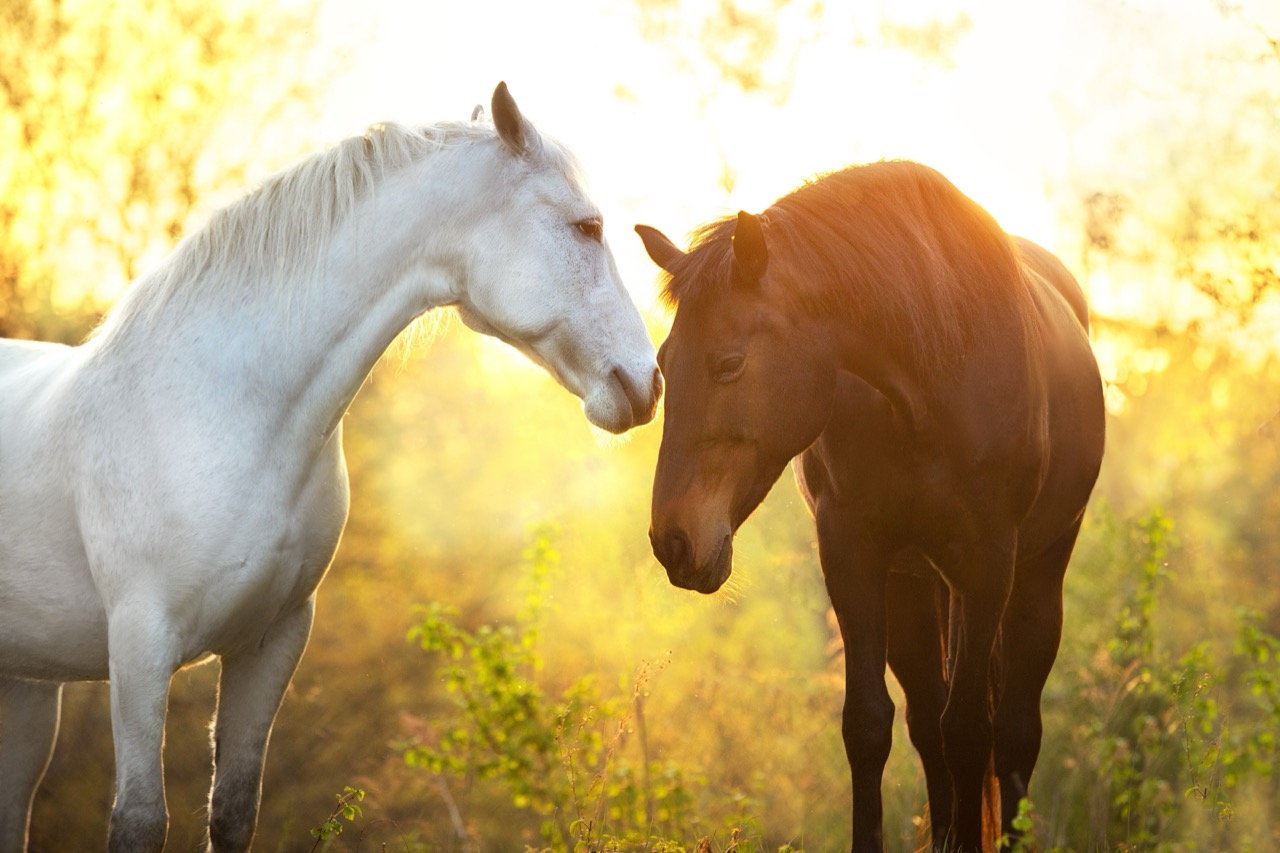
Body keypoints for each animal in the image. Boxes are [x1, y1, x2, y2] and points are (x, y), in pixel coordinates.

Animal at [0, 82, 661, 853]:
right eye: (587, 226)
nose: (646, 383)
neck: (223, 408)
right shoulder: (139, 650)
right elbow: (140, 819)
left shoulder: (272, 641)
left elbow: (233, 808)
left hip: (27, 688)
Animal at [636, 160, 1104, 852]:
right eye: (666, 361)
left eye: (729, 362)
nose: (673, 540)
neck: (929, 378)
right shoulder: (852, 553)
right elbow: (869, 725)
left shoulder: (986, 566)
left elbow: (971, 732)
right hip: (914, 588)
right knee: (928, 723)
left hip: (1036, 578)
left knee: (1015, 733)